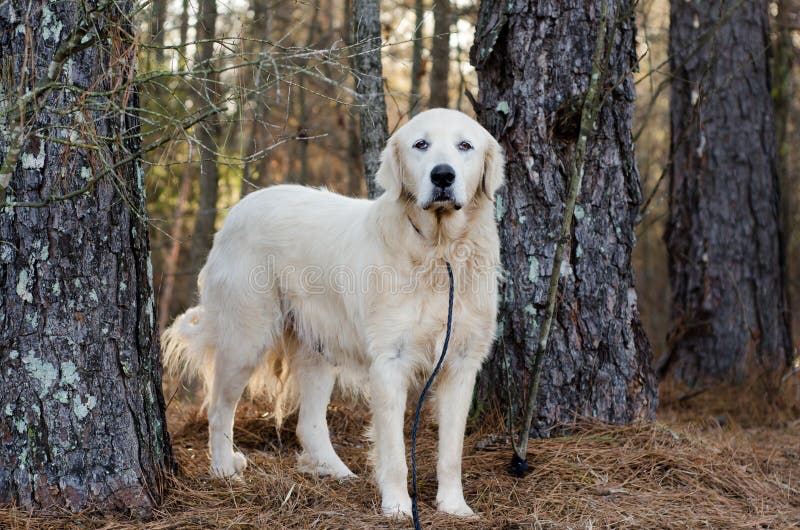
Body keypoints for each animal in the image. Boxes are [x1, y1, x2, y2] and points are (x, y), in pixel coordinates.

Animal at [161, 108, 506, 516]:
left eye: (464, 145)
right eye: (421, 144)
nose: (442, 175)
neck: (440, 252)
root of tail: (239, 208)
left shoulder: (461, 363)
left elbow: (451, 451)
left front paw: (454, 506)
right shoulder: (390, 362)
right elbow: (394, 453)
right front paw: (397, 507)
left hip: (316, 348)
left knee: (307, 423)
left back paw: (335, 472)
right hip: (246, 339)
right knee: (218, 410)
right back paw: (225, 471)